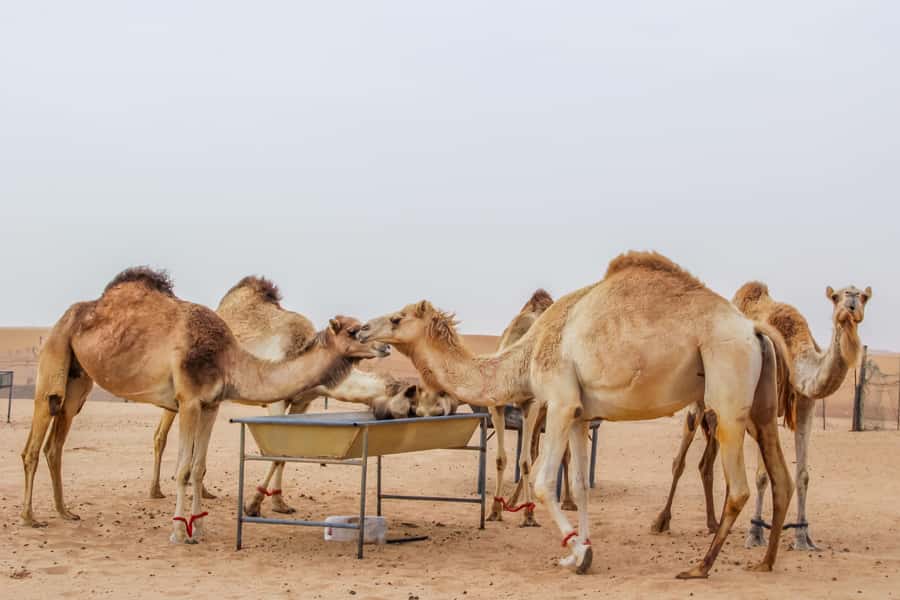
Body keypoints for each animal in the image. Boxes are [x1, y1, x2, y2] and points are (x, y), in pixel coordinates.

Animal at [21, 267, 386, 544]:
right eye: (354, 330)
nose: (383, 347)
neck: (229, 358)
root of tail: (68, 315)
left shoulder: (211, 405)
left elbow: (198, 467)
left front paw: (201, 528)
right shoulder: (189, 401)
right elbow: (184, 469)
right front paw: (179, 532)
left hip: (78, 381)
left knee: (56, 444)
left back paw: (65, 511)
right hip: (54, 358)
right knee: (34, 444)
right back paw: (30, 517)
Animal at [359, 251, 794, 577]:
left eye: (397, 318)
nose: (362, 329)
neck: (527, 354)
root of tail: (754, 329)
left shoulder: (559, 401)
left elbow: (542, 482)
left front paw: (575, 553)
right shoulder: (582, 415)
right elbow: (582, 486)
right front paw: (583, 547)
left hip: (727, 387)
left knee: (739, 487)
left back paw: (700, 566)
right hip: (760, 404)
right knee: (781, 476)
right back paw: (765, 561)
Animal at [651, 282, 871, 551]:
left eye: (864, 297)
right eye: (836, 297)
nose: (851, 304)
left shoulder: (806, 403)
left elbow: (803, 475)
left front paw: (803, 537)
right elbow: (762, 476)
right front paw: (755, 533)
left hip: (721, 411)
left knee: (707, 463)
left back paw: (714, 524)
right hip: (698, 401)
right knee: (680, 460)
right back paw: (661, 521)